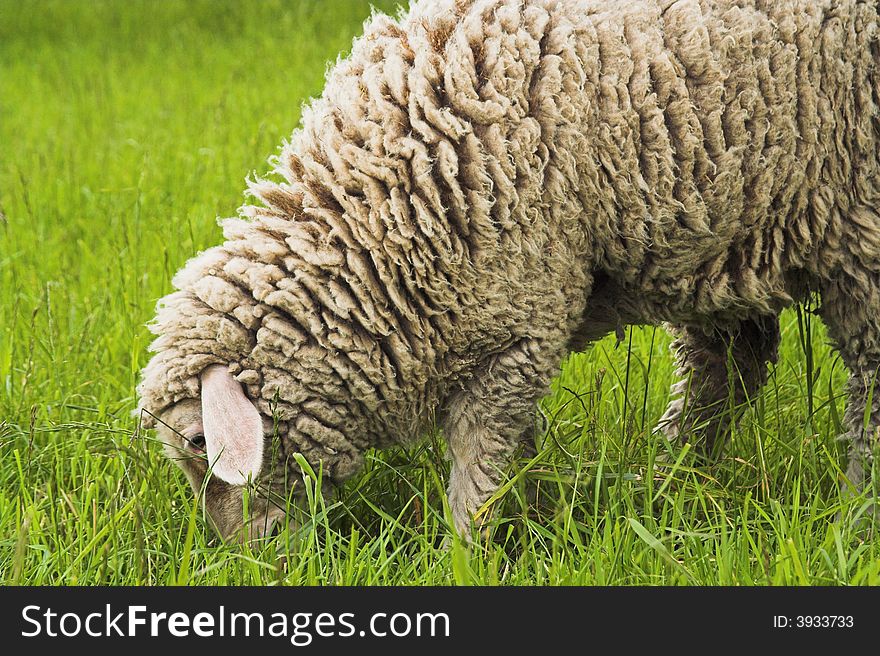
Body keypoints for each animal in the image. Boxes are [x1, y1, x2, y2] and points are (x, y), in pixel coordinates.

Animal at [136, 0, 880, 540]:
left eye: (201, 441)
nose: (248, 555)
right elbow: (517, 445)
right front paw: (534, 513)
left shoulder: (519, 324)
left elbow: (479, 455)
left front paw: (469, 547)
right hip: (720, 228)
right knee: (727, 365)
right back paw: (671, 479)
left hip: (860, 226)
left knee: (864, 385)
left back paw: (852, 516)